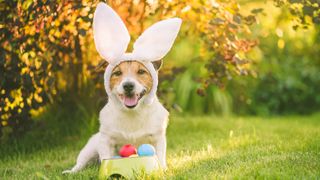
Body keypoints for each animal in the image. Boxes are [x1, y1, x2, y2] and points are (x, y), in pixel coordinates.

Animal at [62, 1, 181, 173]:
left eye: (141, 72)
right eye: (117, 73)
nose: (128, 85)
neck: (132, 113)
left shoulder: (158, 138)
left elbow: (159, 155)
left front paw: (163, 170)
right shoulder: (106, 140)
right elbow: (106, 156)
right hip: (90, 147)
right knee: (80, 163)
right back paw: (72, 171)